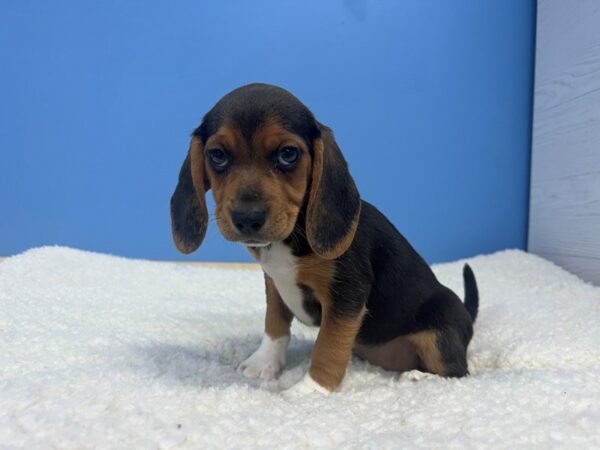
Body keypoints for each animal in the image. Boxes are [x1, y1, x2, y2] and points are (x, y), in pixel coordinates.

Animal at [170, 82, 478, 396]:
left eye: (288, 154)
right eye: (218, 155)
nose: (247, 218)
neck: (291, 236)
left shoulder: (345, 297)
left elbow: (328, 346)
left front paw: (311, 390)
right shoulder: (274, 281)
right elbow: (274, 323)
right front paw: (264, 362)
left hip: (439, 331)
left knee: (459, 372)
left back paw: (418, 377)